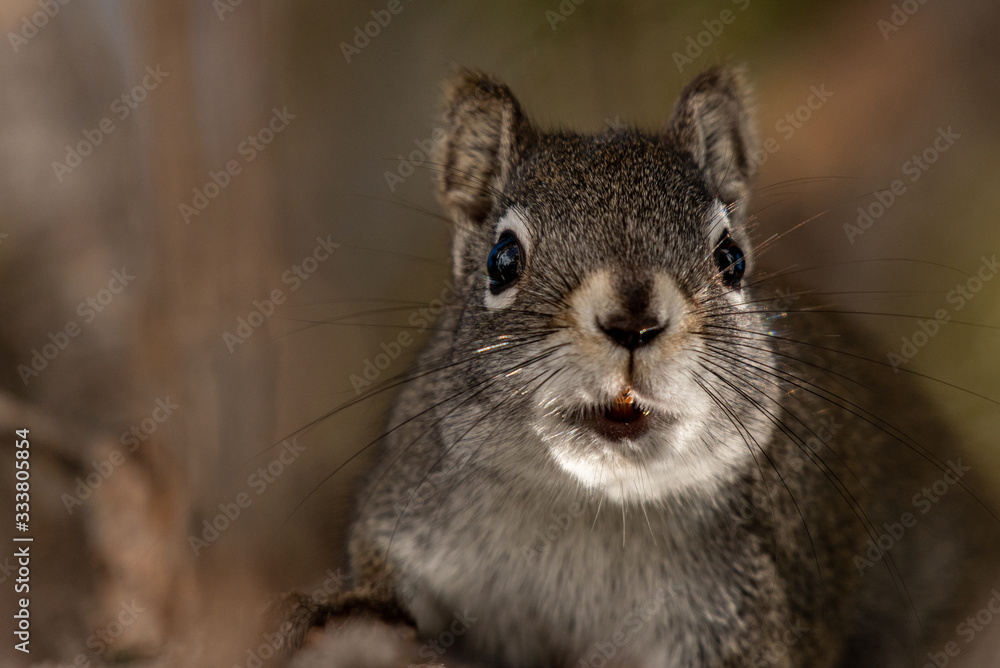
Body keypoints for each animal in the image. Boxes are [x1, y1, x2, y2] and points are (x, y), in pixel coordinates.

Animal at [277, 66, 1000, 667]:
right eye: (501, 260)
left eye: (732, 259)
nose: (633, 323)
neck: (591, 506)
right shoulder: (409, 511)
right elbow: (381, 578)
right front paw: (350, 603)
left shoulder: (751, 608)